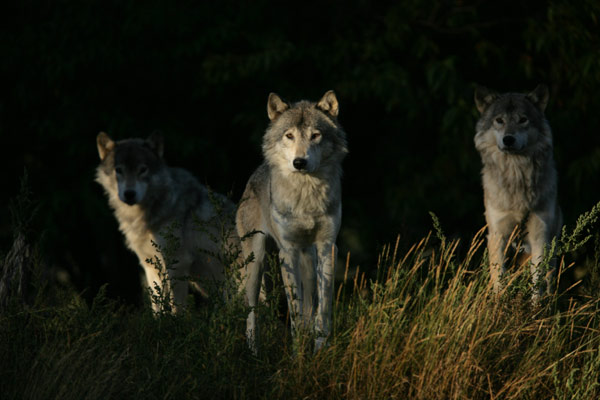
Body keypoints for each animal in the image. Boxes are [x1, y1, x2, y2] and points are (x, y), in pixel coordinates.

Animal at [95, 132, 236, 312]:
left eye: (143, 170)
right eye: (118, 170)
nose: (129, 194)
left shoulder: (177, 263)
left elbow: (177, 307)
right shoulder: (150, 266)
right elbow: (157, 307)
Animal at [234, 91, 346, 354]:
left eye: (315, 135)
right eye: (289, 135)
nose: (299, 162)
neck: (306, 197)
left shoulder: (327, 248)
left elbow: (321, 308)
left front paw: (319, 349)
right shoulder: (288, 251)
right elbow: (293, 310)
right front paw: (297, 354)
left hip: (309, 260)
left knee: (308, 305)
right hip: (256, 262)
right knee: (252, 310)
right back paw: (254, 351)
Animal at [474, 84, 564, 302]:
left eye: (523, 119)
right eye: (499, 120)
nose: (508, 139)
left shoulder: (540, 236)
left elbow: (537, 285)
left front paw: (536, 309)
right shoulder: (497, 235)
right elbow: (499, 280)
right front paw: (499, 305)